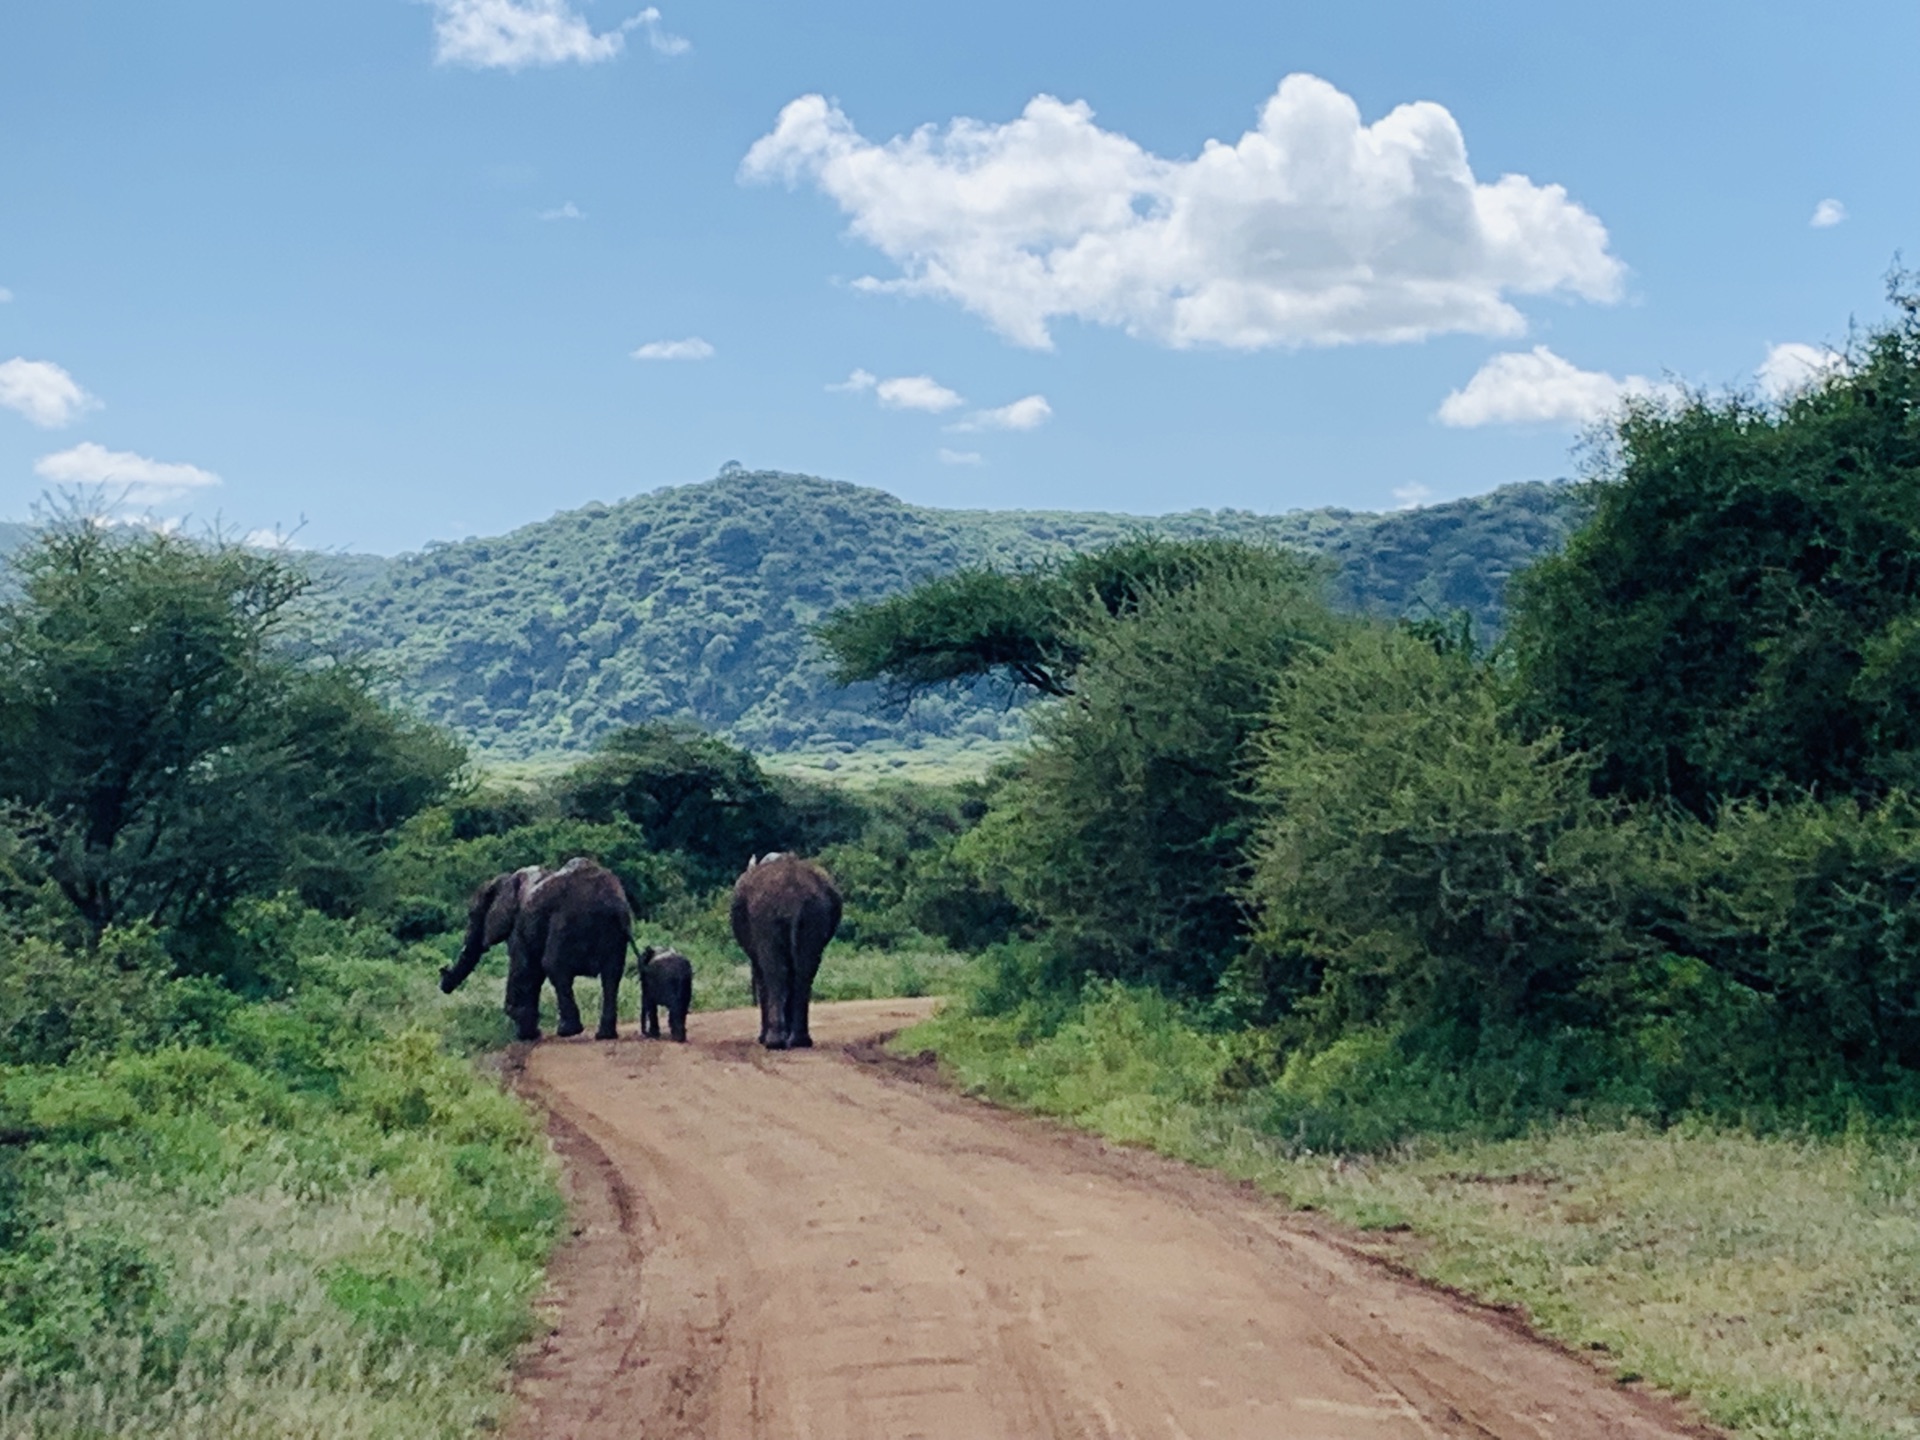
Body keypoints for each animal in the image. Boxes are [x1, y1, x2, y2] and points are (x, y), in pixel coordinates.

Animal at [437, 864, 629, 1044]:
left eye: (471, 914)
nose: (443, 977)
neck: (506, 880)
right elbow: (533, 972)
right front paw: (530, 1032)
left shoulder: (518, 926)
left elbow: (524, 967)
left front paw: (525, 1033)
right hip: (614, 931)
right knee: (612, 974)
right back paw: (605, 1035)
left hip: (568, 921)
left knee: (554, 966)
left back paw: (568, 1031)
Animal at [725, 852, 840, 1052]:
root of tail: (793, 895)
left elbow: (763, 971)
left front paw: (762, 1039)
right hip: (814, 914)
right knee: (805, 971)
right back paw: (800, 1041)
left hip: (765, 917)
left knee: (774, 970)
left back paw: (774, 1042)